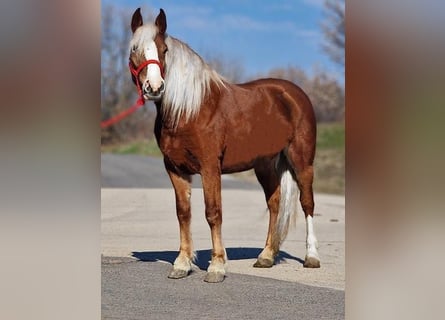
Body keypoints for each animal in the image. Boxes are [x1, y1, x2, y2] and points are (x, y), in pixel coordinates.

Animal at [127, 7, 320, 282]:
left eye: (163, 49)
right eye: (134, 49)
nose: (154, 87)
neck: (189, 109)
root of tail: (293, 93)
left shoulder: (210, 167)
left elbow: (213, 212)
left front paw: (217, 266)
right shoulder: (175, 169)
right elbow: (183, 213)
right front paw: (182, 264)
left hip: (302, 160)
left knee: (307, 203)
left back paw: (311, 257)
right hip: (265, 165)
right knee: (275, 203)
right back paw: (266, 256)